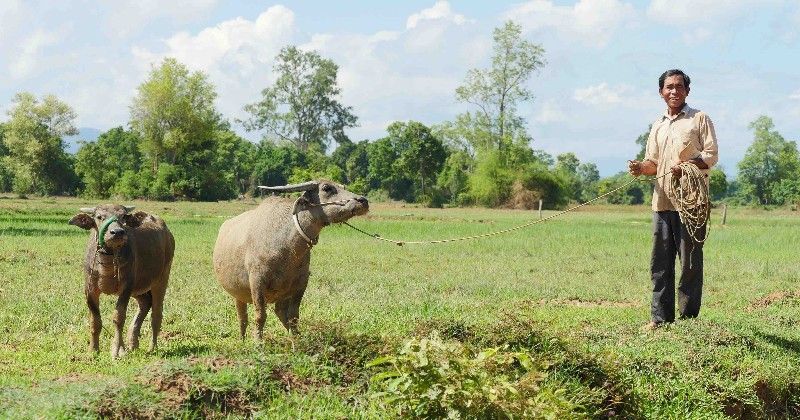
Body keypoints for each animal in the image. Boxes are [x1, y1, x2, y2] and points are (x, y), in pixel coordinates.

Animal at [209, 179, 366, 340]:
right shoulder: (257, 281)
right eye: (327, 188)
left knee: (279, 311)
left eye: (343, 187)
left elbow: (293, 316)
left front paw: (297, 338)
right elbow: (260, 315)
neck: (288, 248)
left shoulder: (301, 283)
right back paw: (242, 339)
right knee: (242, 317)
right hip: (237, 293)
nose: (363, 201)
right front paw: (258, 341)